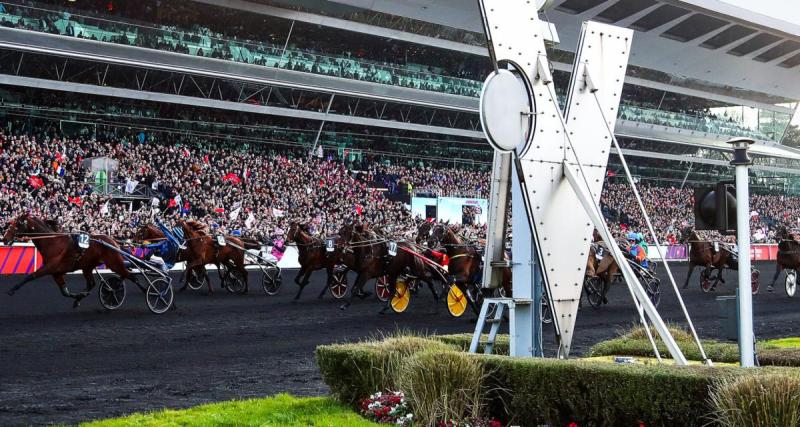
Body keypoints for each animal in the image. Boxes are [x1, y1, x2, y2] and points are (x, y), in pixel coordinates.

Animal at [3, 214, 139, 308]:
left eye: (16, 224)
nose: (4, 239)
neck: (52, 242)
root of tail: (113, 241)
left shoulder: (49, 268)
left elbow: (30, 276)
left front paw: (11, 290)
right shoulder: (56, 273)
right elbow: (65, 292)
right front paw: (78, 296)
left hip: (114, 263)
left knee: (132, 277)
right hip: (87, 267)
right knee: (91, 283)